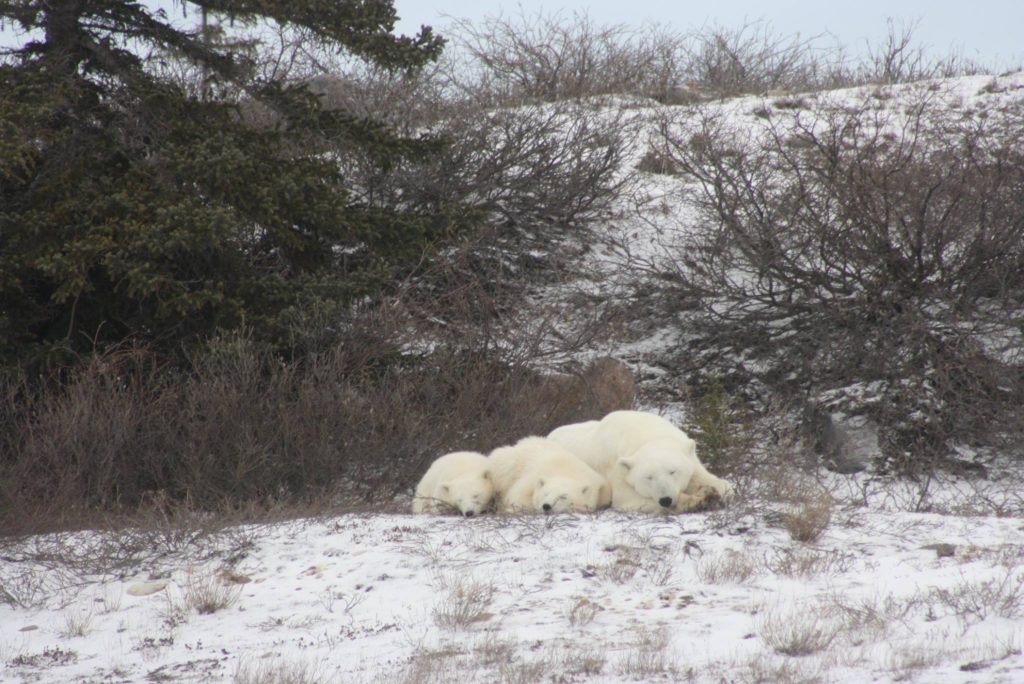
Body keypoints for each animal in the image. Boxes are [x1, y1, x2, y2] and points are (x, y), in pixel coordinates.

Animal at [547, 410, 734, 514]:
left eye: (673, 471)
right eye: (649, 477)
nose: (665, 499)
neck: (647, 433)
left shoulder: (691, 459)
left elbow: (716, 482)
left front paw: (712, 491)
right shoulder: (617, 467)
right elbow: (629, 498)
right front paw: (699, 500)